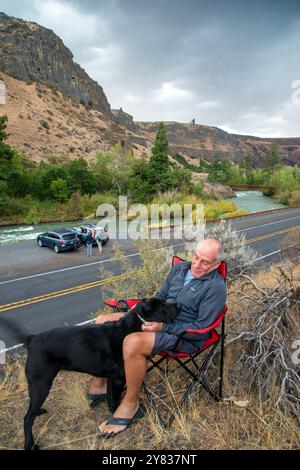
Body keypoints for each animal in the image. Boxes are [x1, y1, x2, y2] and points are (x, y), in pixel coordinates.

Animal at [0, 300, 180, 450]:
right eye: (163, 305)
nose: (179, 305)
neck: (133, 326)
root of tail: (32, 338)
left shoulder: (112, 378)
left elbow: (110, 398)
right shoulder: (118, 377)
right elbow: (115, 401)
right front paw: (117, 417)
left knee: (30, 409)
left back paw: (38, 412)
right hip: (42, 383)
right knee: (27, 418)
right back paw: (30, 444)